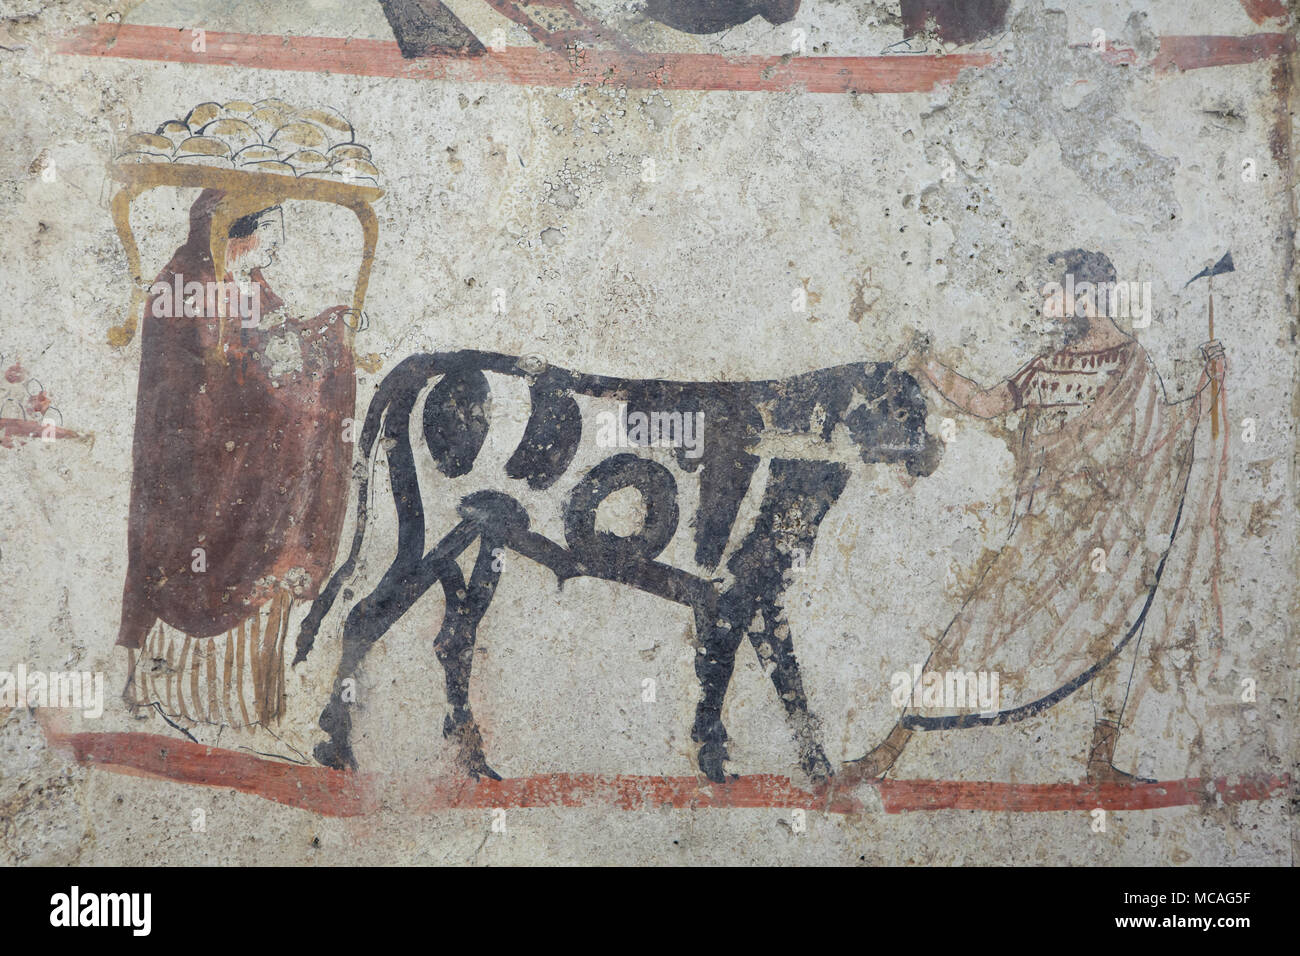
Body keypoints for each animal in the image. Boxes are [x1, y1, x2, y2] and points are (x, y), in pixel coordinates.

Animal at [296, 348, 946, 780]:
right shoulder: (739, 594)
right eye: (902, 411)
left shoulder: (743, 596)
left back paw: (474, 761)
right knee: (365, 619)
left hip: (481, 540)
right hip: (429, 533)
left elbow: (755, 680)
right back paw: (338, 748)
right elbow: (751, 680)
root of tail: (427, 363)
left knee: (452, 640)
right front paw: (744, 765)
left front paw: (792, 770)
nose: (937, 453)